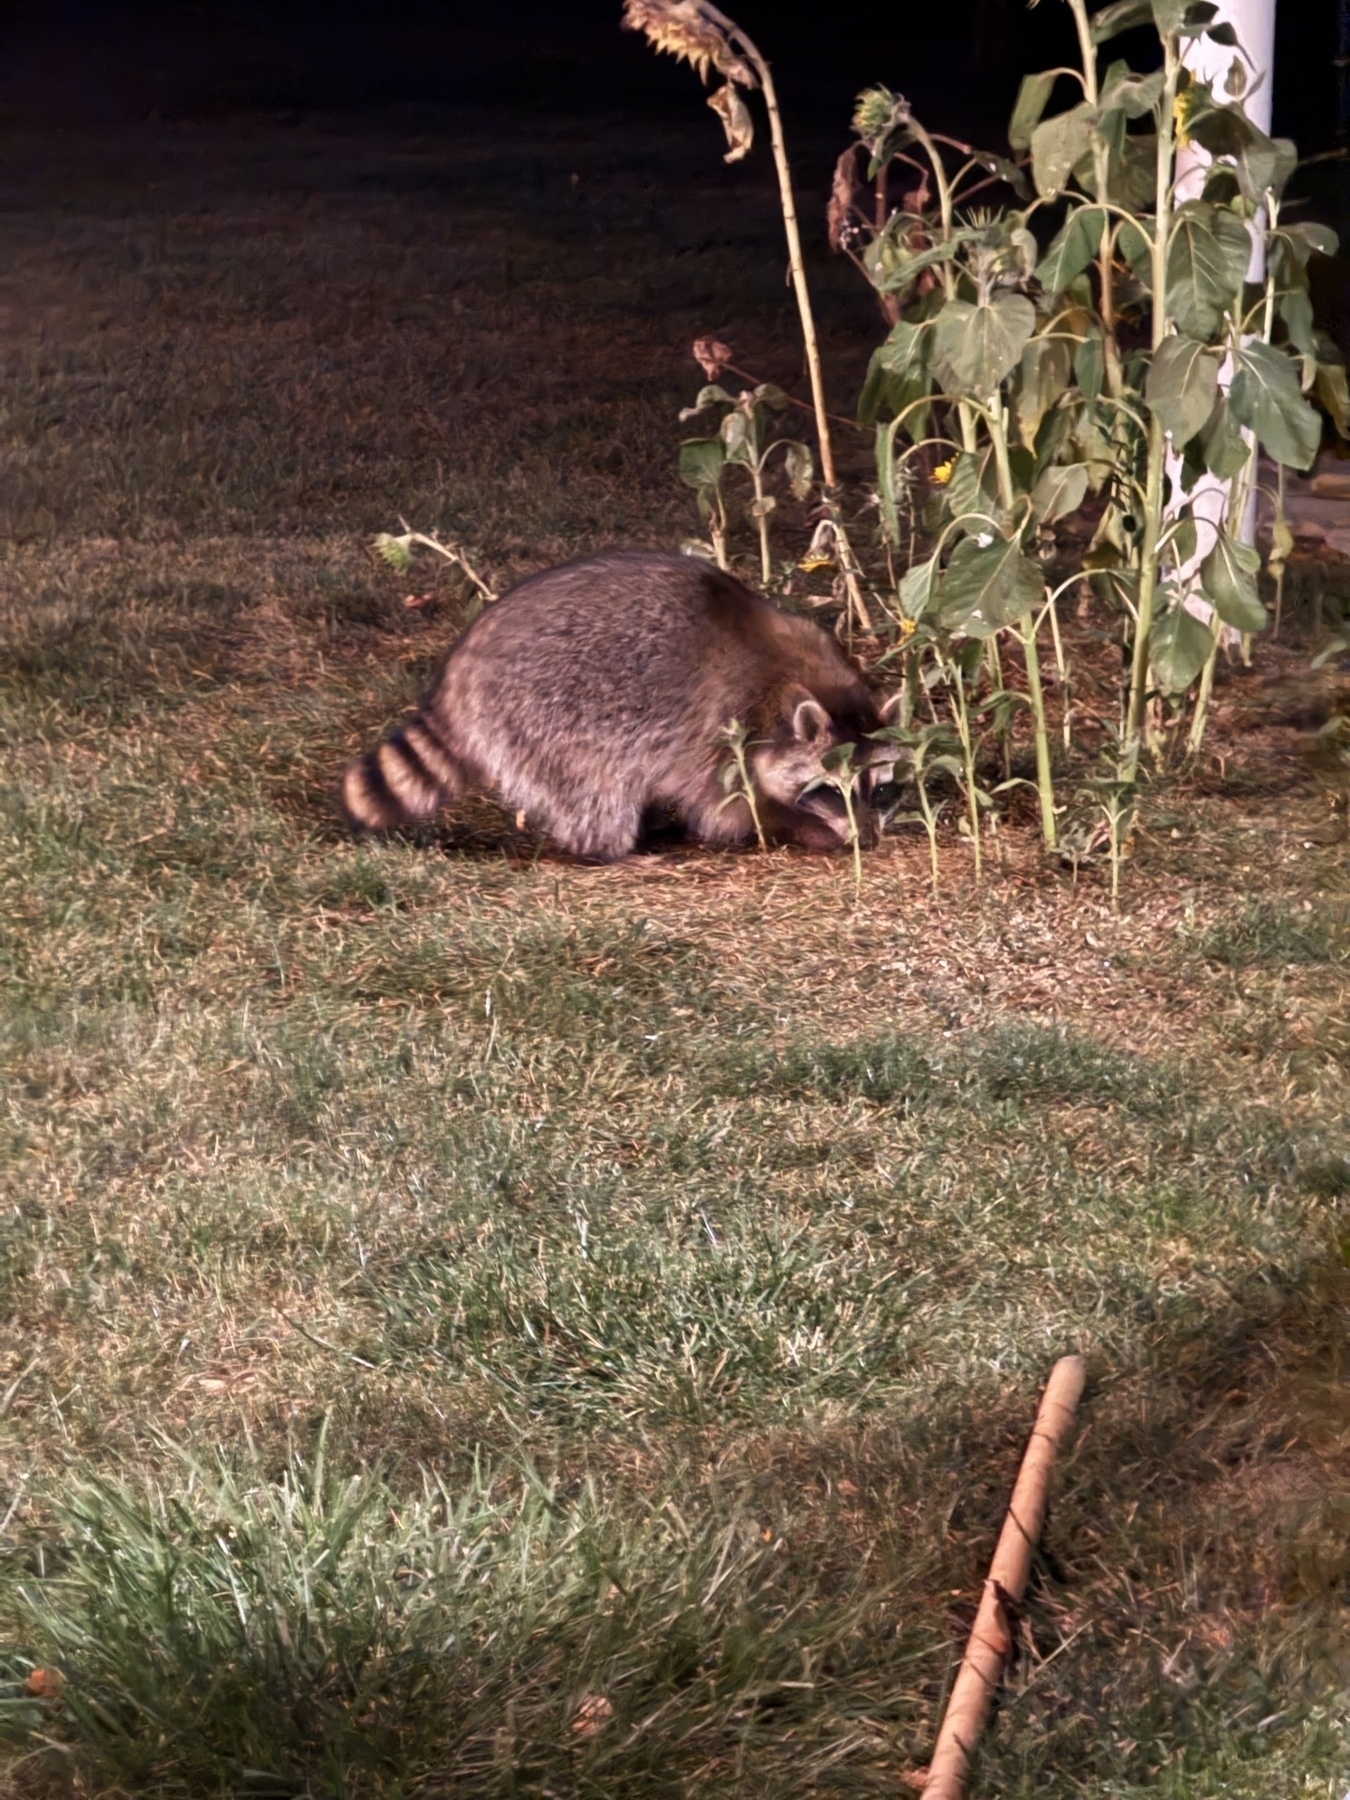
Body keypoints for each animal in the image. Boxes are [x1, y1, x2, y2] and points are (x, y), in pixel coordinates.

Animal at [343, 543, 900, 860]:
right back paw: (610, 849)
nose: (869, 839)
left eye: (878, 788)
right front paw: (803, 830)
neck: (791, 677)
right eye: (830, 789)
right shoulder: (720, 730)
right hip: (543, 711)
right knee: (595, 786)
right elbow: (730, 809)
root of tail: (460, 667)